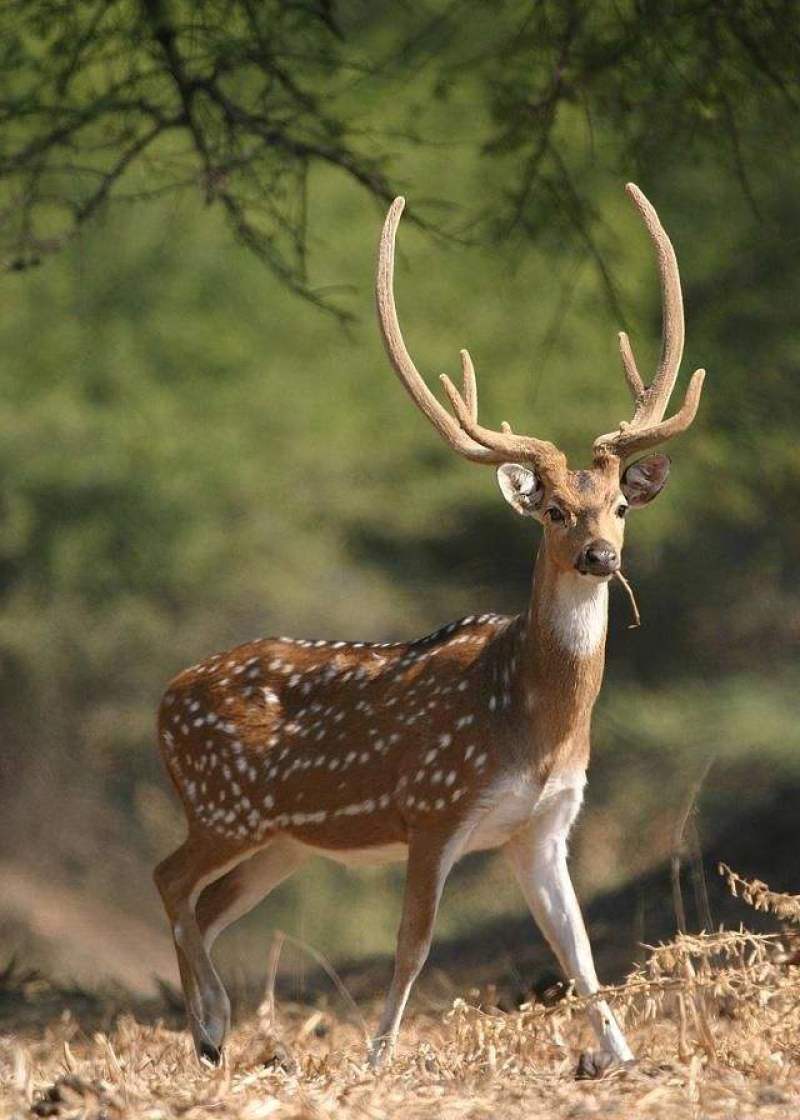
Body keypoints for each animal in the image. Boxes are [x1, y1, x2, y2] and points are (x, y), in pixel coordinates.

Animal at [155, 185, 703, 1075]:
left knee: (205, 905)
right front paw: (378, 1058)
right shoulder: (434, 806)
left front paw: (621, 1059)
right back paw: (207, 1028)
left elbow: (579, 950)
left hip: (284, 841)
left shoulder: (544, 827)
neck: (534, 722)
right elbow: (413, 945)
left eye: (621, 504)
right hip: (221, 806)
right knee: (170, 881)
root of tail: (164, 699)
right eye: (555, 509)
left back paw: (217, 1032)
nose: (601, 555)